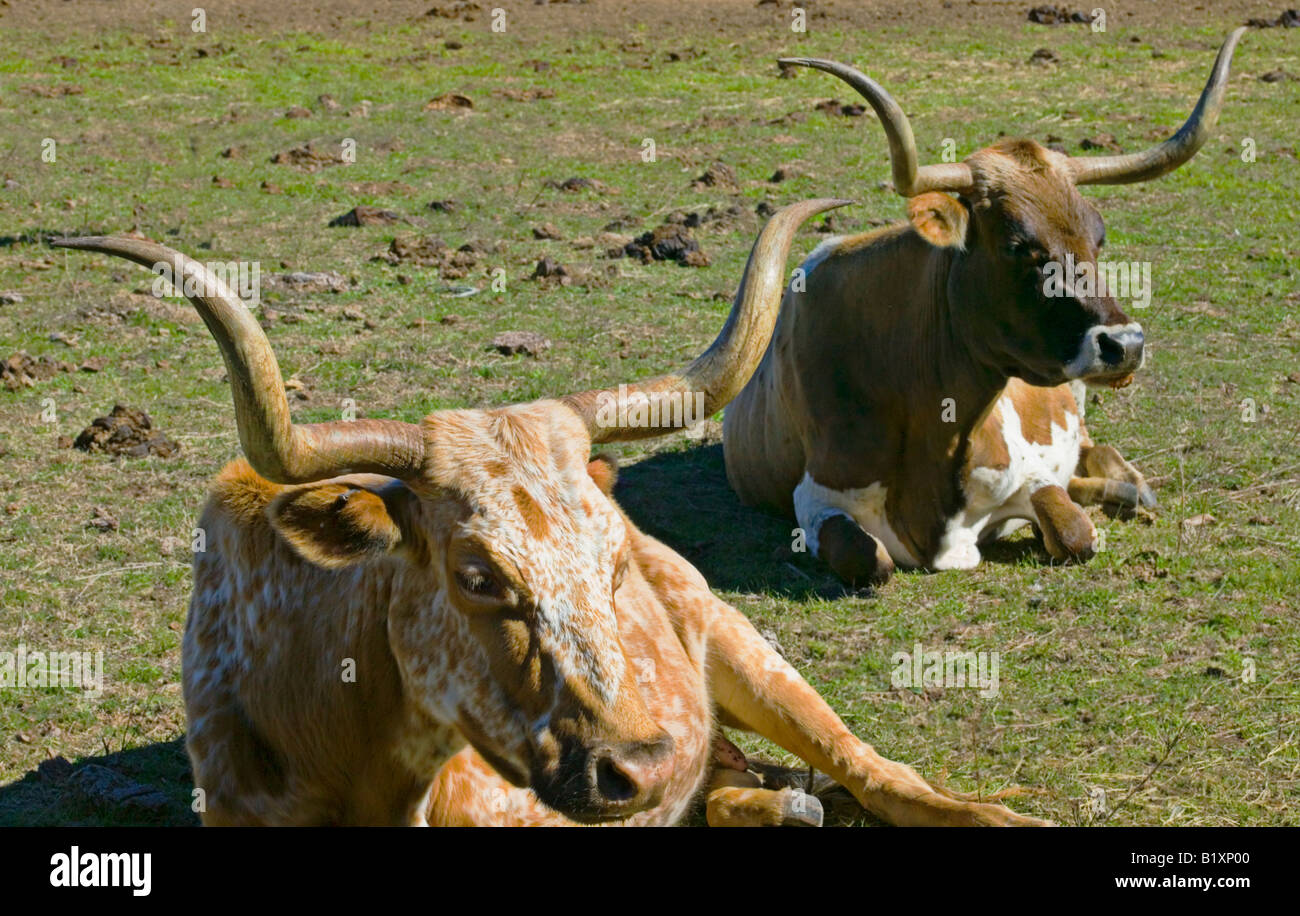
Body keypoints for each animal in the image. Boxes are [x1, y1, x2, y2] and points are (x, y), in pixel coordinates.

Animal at [723, 30, 1244, 586]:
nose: (1124, 345)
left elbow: (1073, 531)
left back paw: (1132, 488)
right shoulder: (817, 498)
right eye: (1018, 246)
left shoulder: (1030, 472)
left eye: (1098, 238)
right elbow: (866, 558)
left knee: (1095, 449)